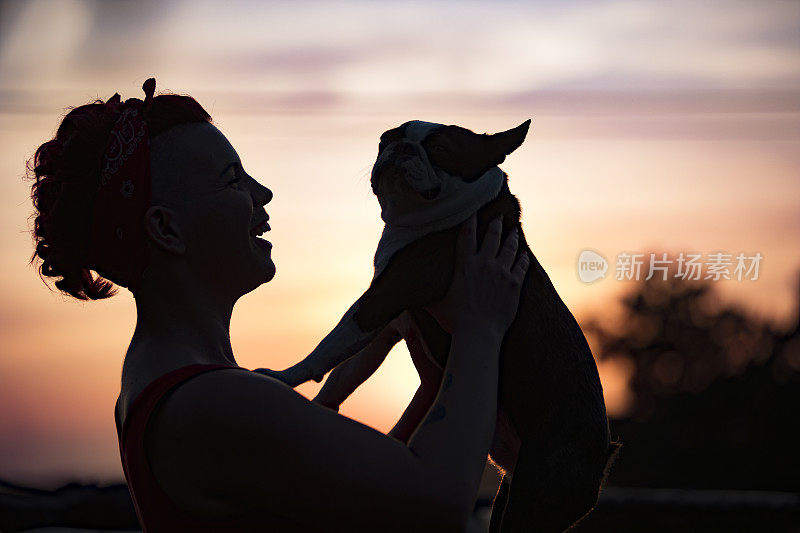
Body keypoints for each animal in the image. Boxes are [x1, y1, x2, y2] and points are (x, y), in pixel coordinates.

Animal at [260, 118, 620, 528]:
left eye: (441, 149)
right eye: (385, 139)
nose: (401, 147)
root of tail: (602, 456)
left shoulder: (382, 298)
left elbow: (328, 345)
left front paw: (284, 376)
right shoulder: (387, 324)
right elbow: (346, 371)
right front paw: (316, 405)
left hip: (536, 493)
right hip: (509, 494)